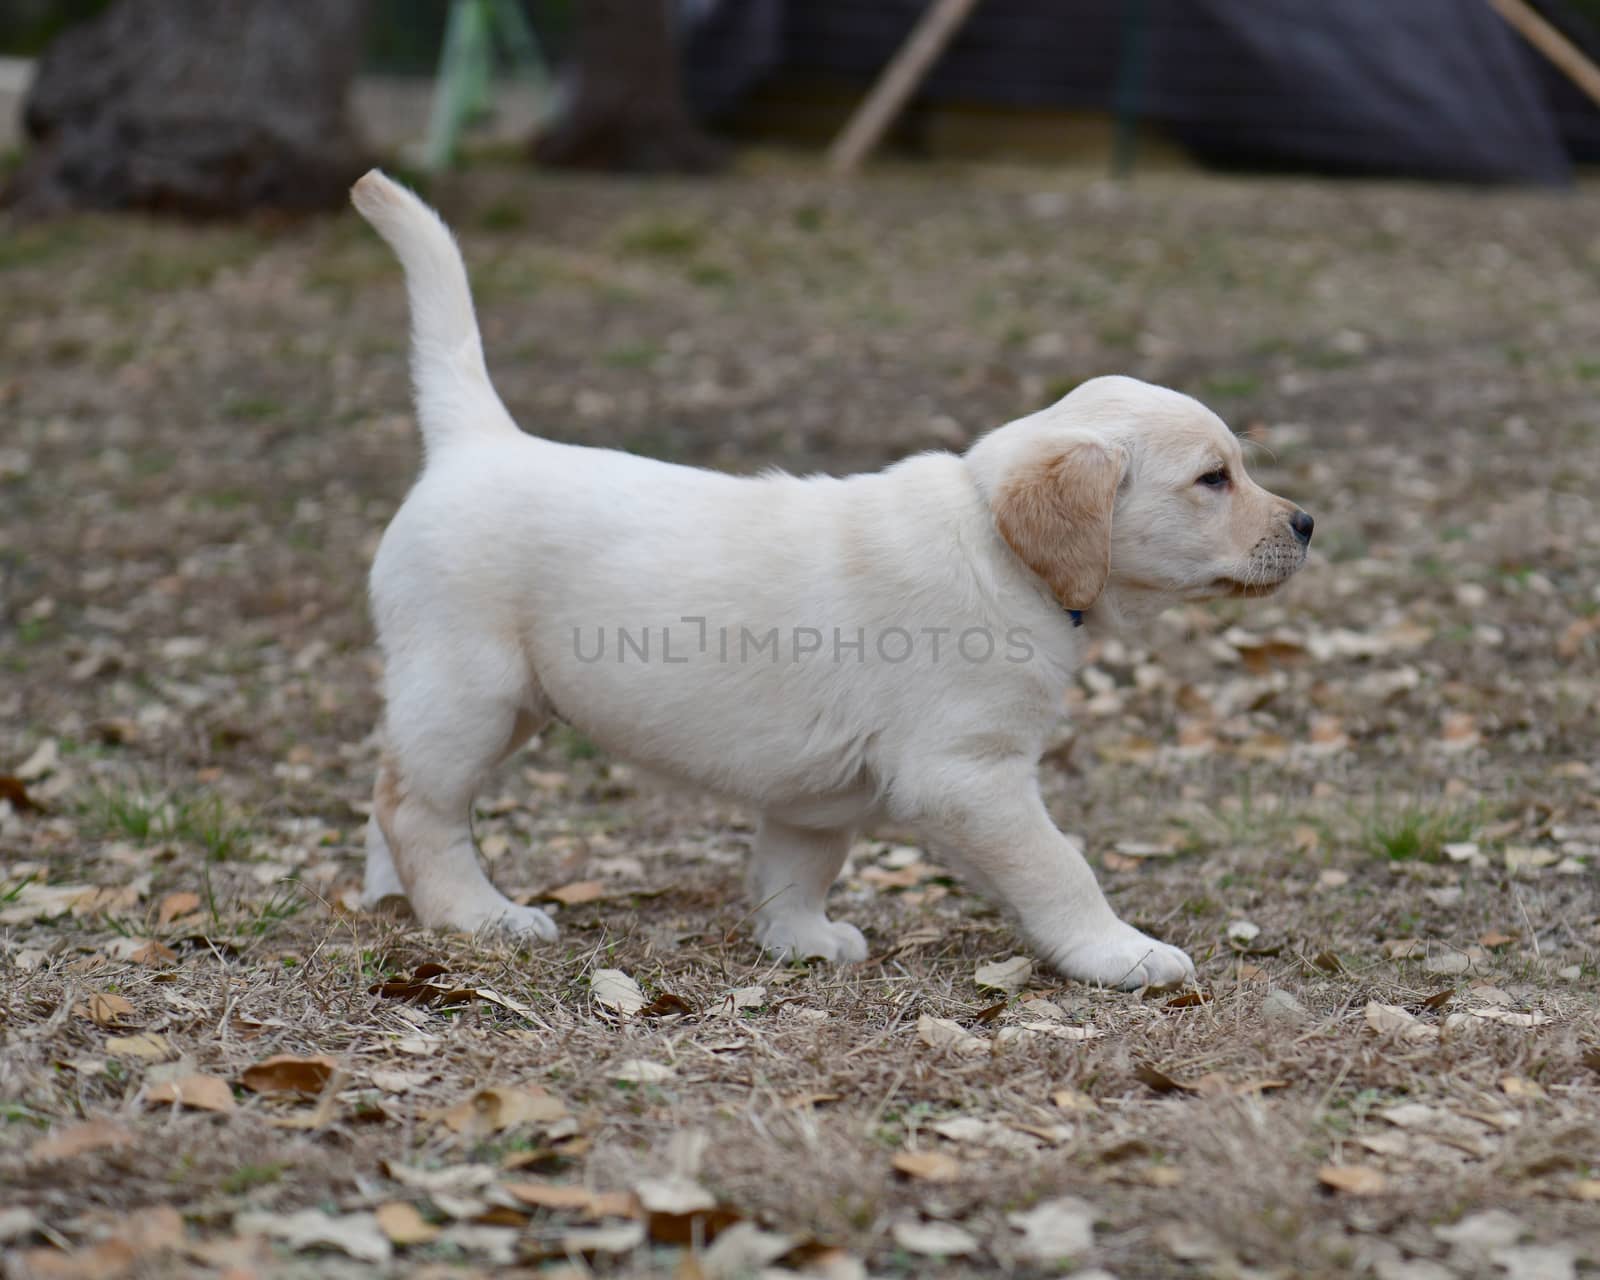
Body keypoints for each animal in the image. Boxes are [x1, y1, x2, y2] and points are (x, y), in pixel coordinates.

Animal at [350, 169, 1312, 992]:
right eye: (1214, 479)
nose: (1306, 524)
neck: (998, 546)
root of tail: (481, 440)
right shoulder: (969, 773)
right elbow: (1060, 867)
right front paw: (1121, 952)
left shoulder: (817, 792)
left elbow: (797, 863)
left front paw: (800, 939)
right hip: (472, 690)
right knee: (419, 808)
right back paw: (478, 915)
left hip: (499, 705)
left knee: (390, 788)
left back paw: (389, 897)